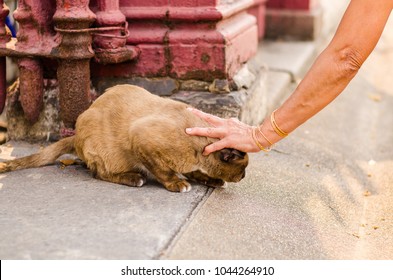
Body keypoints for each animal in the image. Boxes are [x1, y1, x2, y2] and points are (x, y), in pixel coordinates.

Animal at [0, 84, 247, 191]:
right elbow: (164, 171)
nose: (244, 177)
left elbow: (196, 172)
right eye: (243, 169)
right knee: (99, 173)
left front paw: (210, 180)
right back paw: (134, 178)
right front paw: (177, 183)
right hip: (102, 150)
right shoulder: (142, 141)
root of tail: (76, 133)